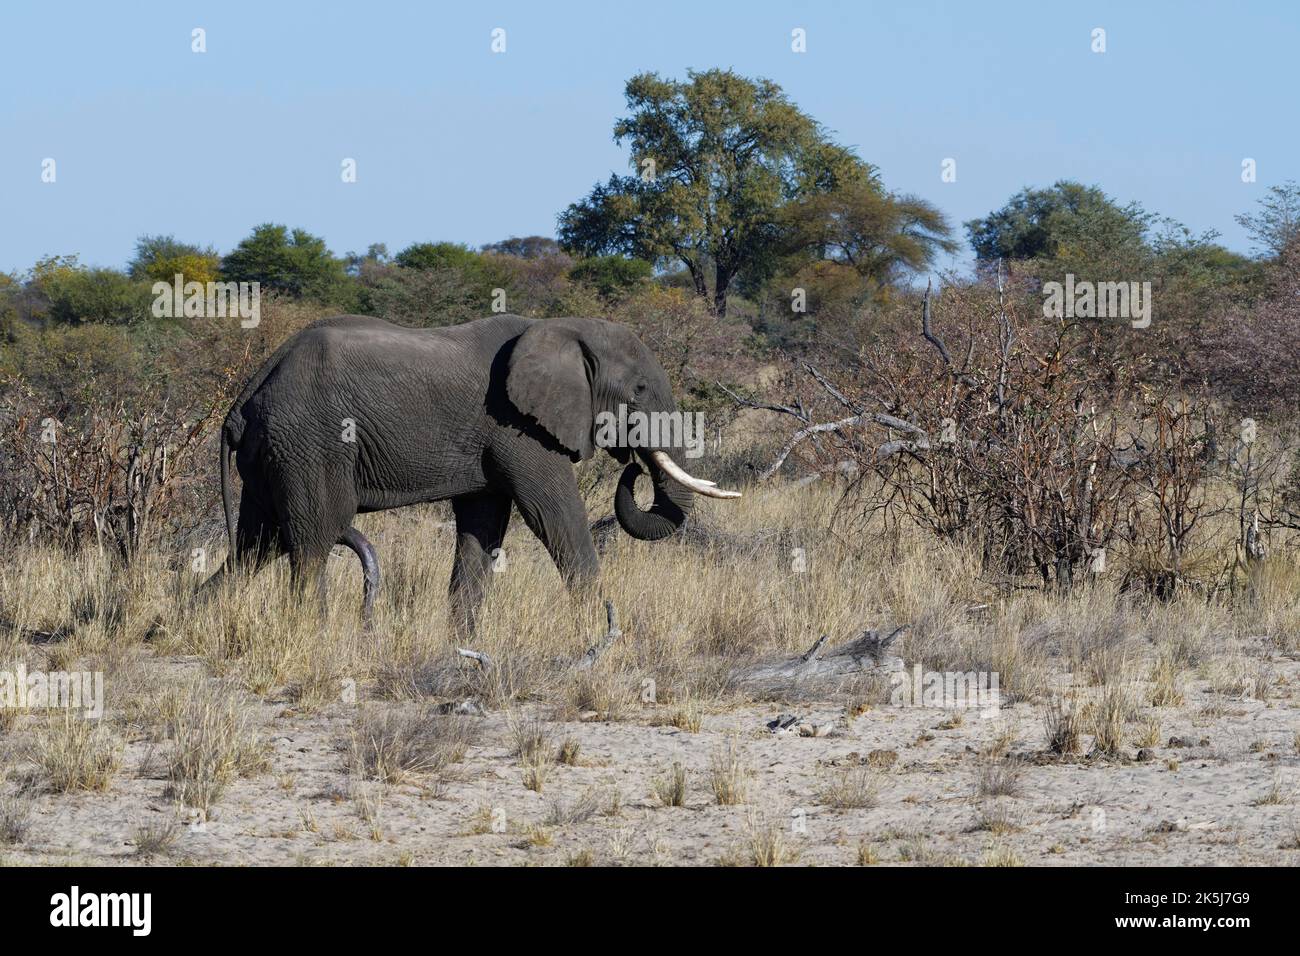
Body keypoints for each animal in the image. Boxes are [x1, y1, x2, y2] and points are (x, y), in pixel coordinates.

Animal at [197, 310, 738, 632]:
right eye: (640, 391)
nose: (634, 466)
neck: (561, 330)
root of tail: (244, 397)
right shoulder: (519, 427)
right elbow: (552, 514)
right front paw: (598, 631)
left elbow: (484, 525)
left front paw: (462, 641)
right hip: (310, 444)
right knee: (311, 540)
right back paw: (317, 636)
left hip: (275, 454)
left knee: (257, 544)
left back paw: (188, 621)